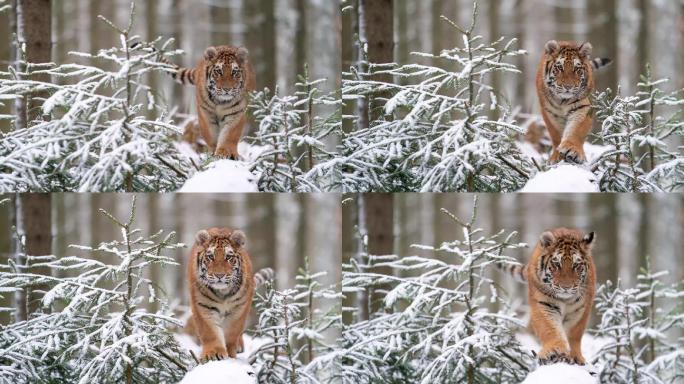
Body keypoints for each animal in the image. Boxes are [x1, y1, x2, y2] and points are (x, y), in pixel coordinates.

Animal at [186, 228, 274, 360]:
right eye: (210, 256)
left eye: (228, 257)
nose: (219, 275)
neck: (222, 293)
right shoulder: (203, 306)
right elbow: (209, 331)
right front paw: (214, 354)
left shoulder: (239, 308)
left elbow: (232, 332)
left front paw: (230, 354)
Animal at [500, 228, 596, 366]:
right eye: (557, 264)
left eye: (576, 265)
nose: (566, 287)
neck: (565, 300)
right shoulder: (544, 305)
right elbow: (550, 328)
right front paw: (554, 350)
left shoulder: (581, 310)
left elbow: (574, 334)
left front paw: (575, 357)